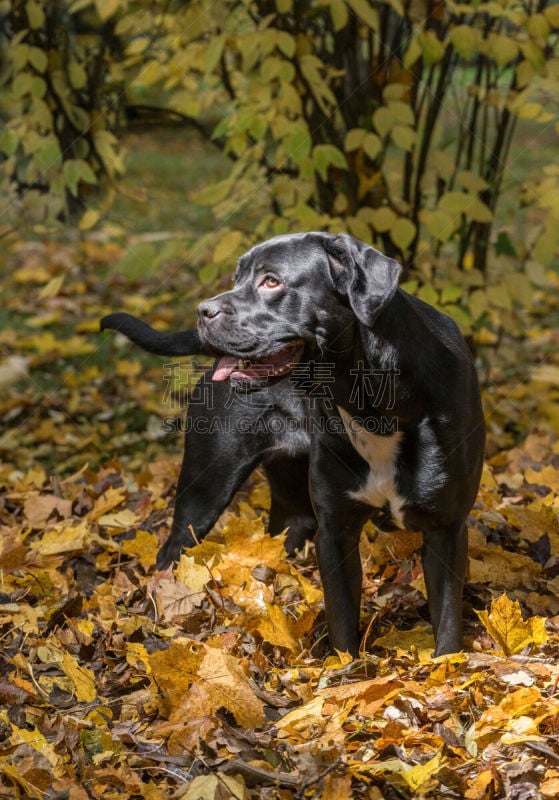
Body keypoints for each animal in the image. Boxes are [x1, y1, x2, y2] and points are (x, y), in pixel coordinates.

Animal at [101, 231, 486, 656]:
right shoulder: (335, 530)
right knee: (171, 552)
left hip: (289, 505)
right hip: (205, 487)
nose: (203, 311)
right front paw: (345, 669)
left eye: (272, 281)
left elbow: (447, 621)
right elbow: (342, 620)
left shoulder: (446, 528)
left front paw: (444, 664)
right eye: (237, 278)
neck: (373, 401)